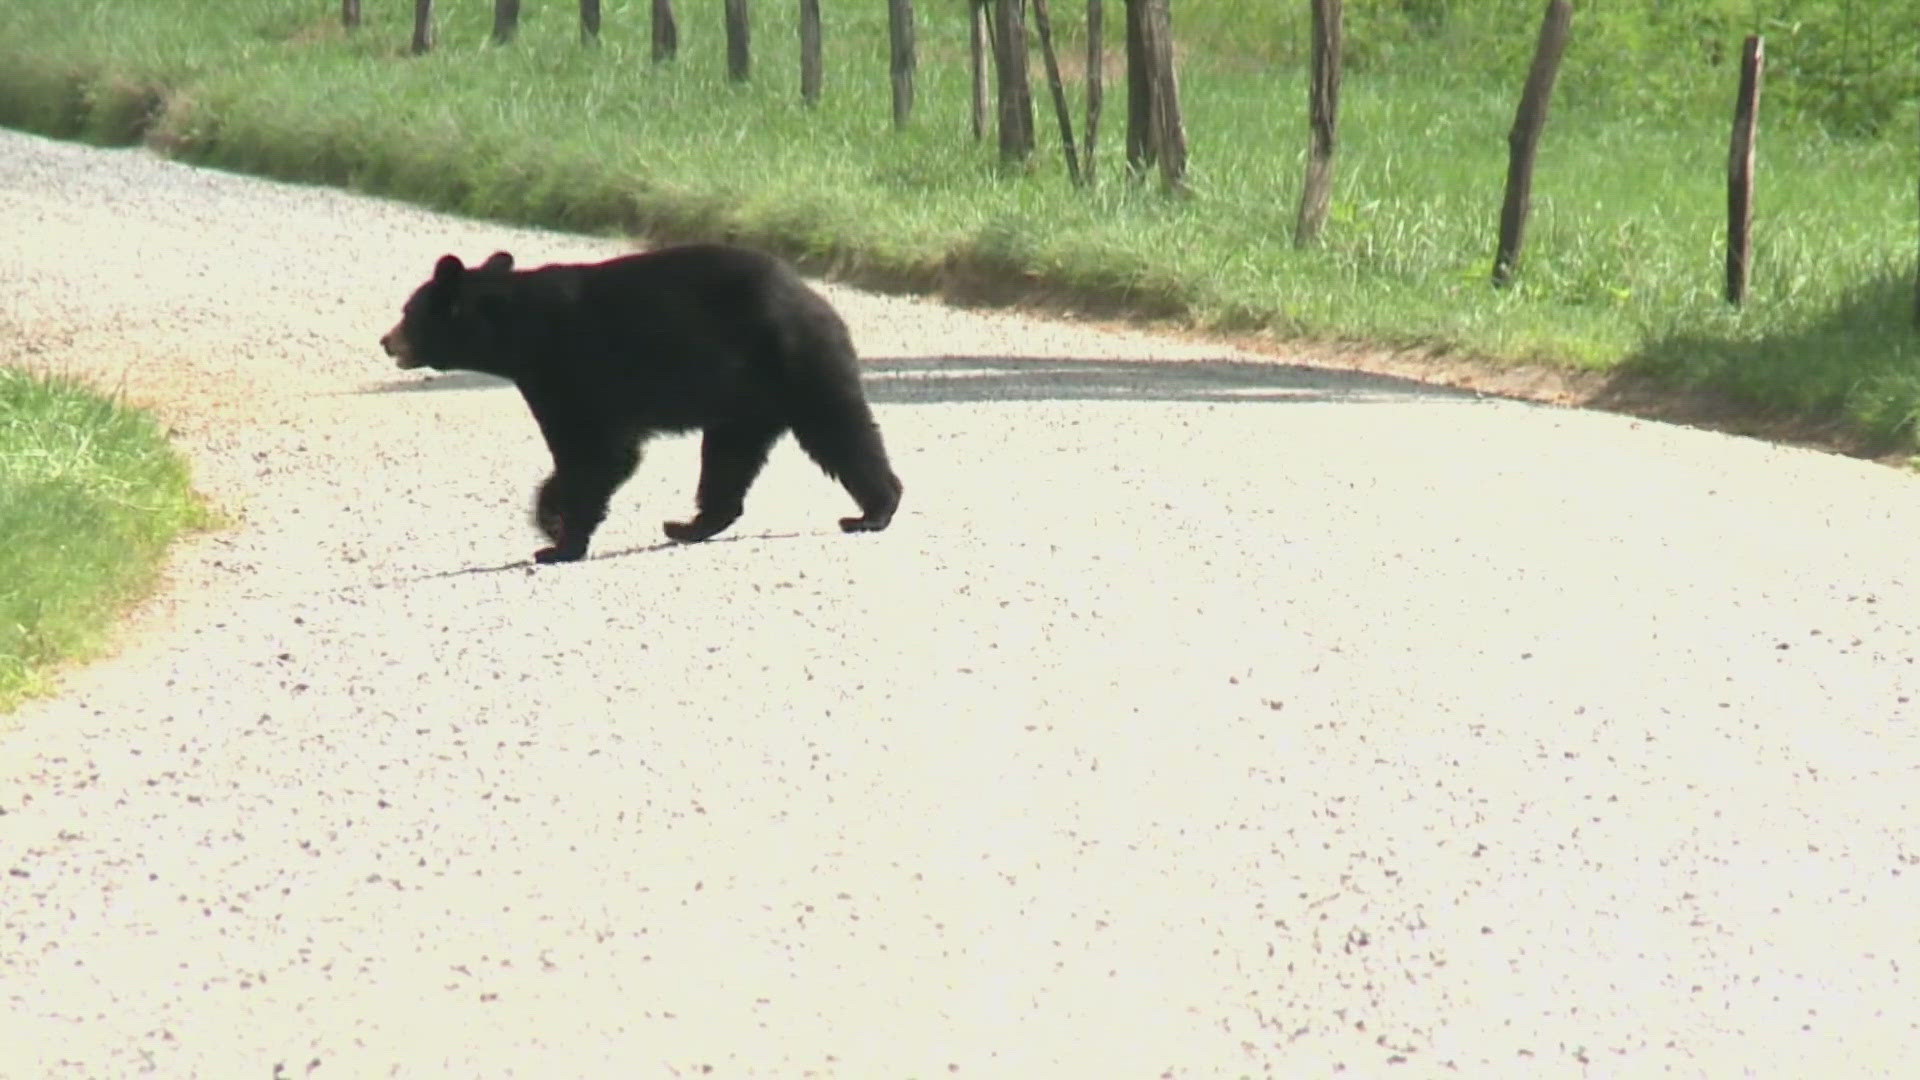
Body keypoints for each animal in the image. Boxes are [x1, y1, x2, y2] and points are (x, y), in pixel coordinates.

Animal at [385, 244, 910, 564]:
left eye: (408, 312)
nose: (386, 341)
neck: (519, 333)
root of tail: (819, 301)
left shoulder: (571, 371)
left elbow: (597, 455)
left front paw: (557, 539)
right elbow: (599, 457)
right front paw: (553, 524)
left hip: (796, 364)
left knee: (839, 432)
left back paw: (873, 511)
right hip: (746, 401)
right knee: (729, 458)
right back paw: (689, 525)